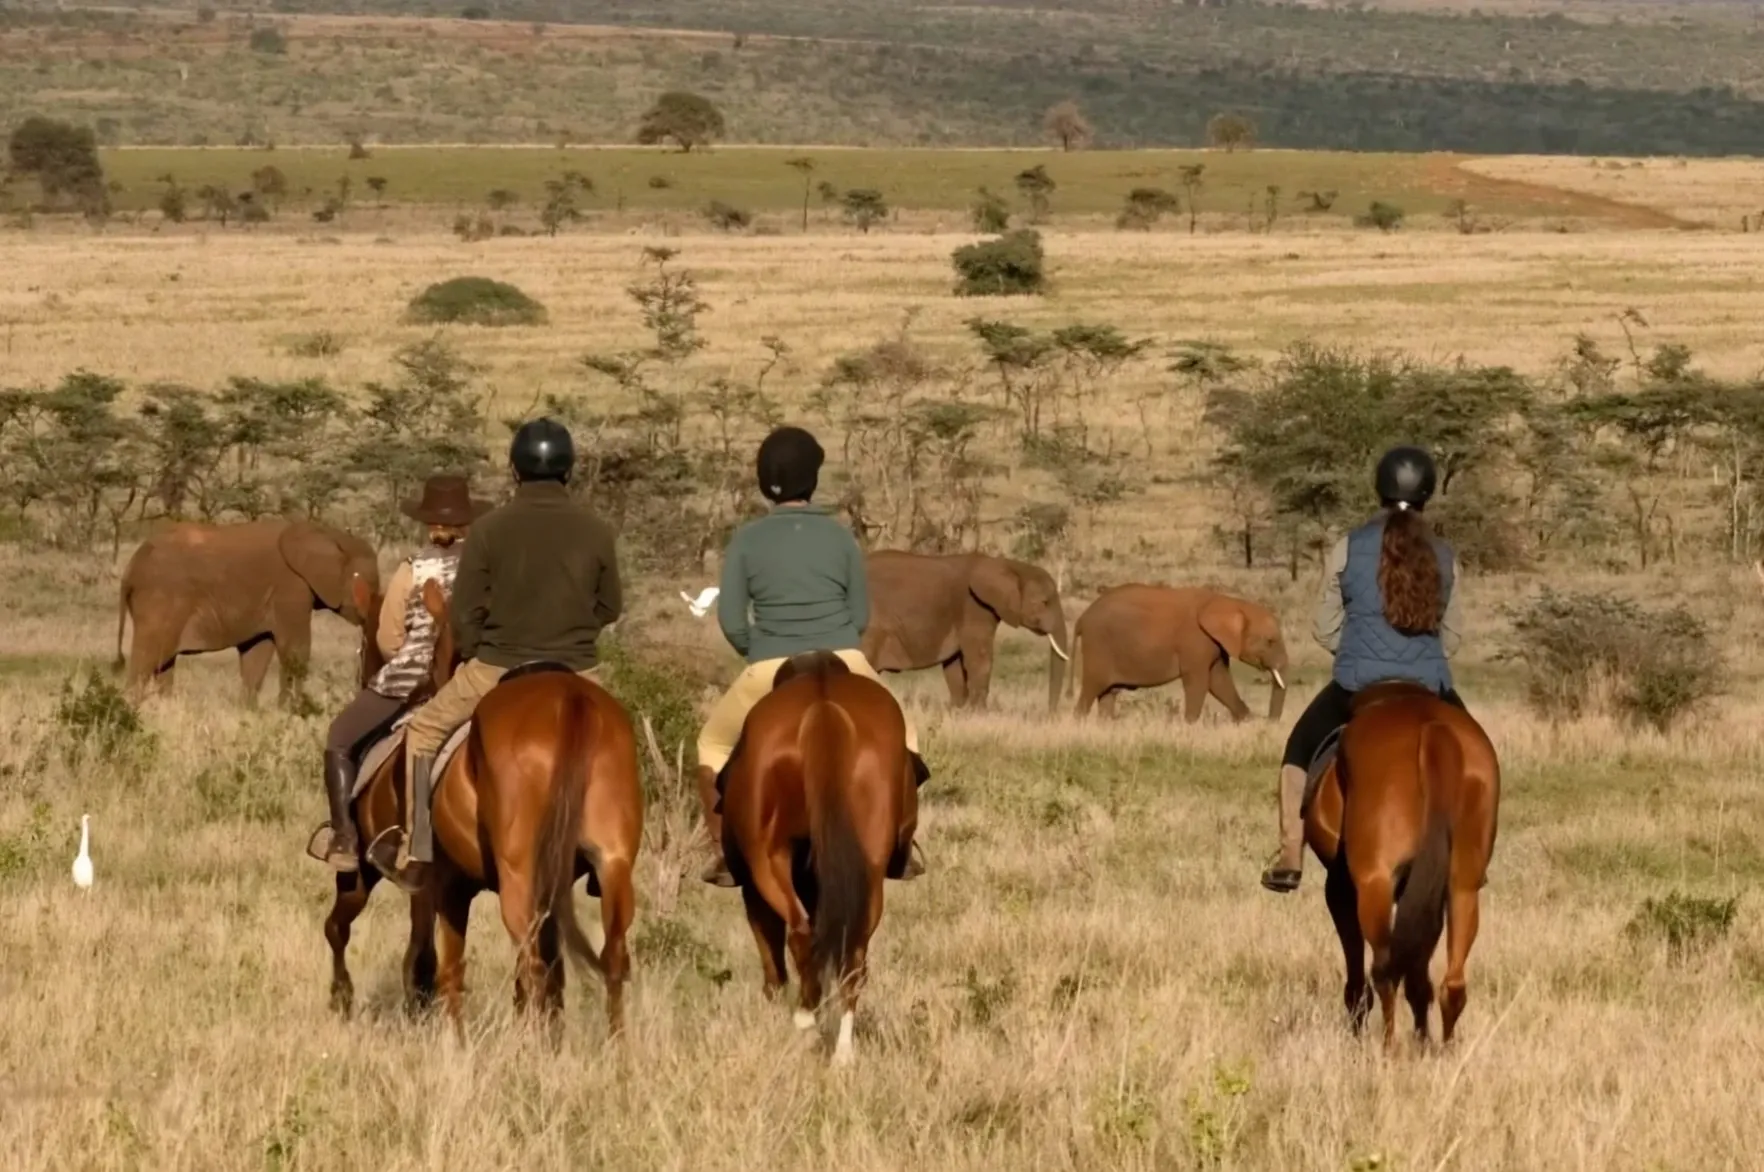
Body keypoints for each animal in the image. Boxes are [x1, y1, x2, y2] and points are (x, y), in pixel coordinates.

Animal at [115, 518, 381, 706]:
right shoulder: (291, 589)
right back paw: (132, 707)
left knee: (163, 663)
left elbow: (257, 652)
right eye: (368, 584)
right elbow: (295, 651)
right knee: (146, 658)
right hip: (161, 600)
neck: (330, 535)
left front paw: (250, 710)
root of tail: (131, 566)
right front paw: (289, 710)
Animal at [861, 550, 1071, 711]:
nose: (1050, 713)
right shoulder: (975, 607)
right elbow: (980, 660)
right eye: (1044, 602)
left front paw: (958, 712)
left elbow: (953, 665)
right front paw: (980, 714)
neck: (1008, 565)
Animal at [1069, 584, 1288, 722]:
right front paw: (1189, 725)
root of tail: (1082, 619)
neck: (1229, 603)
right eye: (1270, 641)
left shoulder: (1215, 645)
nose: (1268, 722)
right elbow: (1199, 683)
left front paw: (1246, 721)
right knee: (1091, 689)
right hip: (1098, 646)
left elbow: (1219, 681)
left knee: (1108, 694)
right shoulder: (1196, 641)